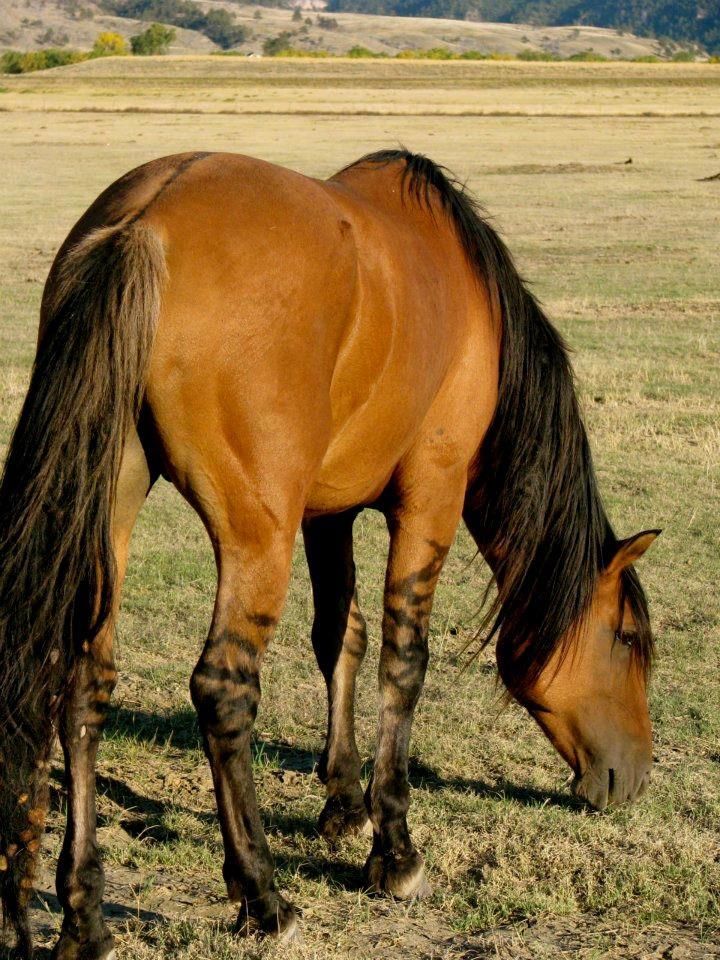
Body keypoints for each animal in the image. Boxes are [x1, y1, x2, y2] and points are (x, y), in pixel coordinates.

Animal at [0, 146, 660, 956]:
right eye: (624, 639)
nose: (633, 778)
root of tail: (144, 223)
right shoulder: (429, 498)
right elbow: (402, 663)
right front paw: (394, 848)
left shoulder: (328, 510)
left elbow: (339, 637)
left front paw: (344, 805)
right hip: (256, 535)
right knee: (222, 689)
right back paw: (263, 896)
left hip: (111, 504)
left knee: (83, 687)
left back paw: (86, 917)